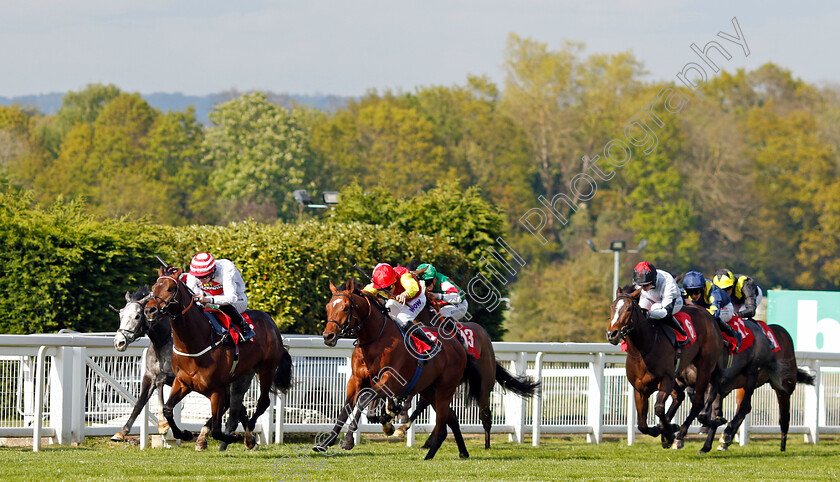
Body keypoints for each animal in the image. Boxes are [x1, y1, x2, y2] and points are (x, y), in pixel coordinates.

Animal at [112, 284, 256, 450]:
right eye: (121, 315)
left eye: (137, 316)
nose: (119, 342)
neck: (163, 342)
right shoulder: (149, 376)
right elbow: (140, 402)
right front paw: (121, 432)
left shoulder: (177, 377)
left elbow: (160, 382)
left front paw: (162, 424)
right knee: (236, 407)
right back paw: (246, 439)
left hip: (235, 380)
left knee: (233, 405)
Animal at [147, 268, 296, 448]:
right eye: (153, 287)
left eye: (170, 288)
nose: (149, 310)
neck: (196, 342)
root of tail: (272, 324)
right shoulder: (182, 382)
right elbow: (168, 409)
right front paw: (184, 433)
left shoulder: (216, 389)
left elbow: (217, 431)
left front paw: (234, 437)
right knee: (236, 406)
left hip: (266, 369)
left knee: (262, 402)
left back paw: (248, 435)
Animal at [322, 278, 486, 460]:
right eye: (328, 307)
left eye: (345, 307)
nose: (328, 336)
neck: (375, 338)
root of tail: (458, 344)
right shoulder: (356, 379)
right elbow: (346, 408)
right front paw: (326, 442)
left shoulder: (390, 380)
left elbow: (364, 399)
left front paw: (348, 440)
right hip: (429, 390)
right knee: (452, 417)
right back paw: (462, 452)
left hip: (446, 388)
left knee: (442, 423)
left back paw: (429, 454)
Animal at [608, 286, 724, 452]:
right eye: (612, 307)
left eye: (629, 308)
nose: (612, 334)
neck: (643, 349)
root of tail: (709, 316)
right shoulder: (640, 389)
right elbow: (642, 425)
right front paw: (663, 430)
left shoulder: (666, 380)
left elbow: (658, 408)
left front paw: (669, 433)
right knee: (680, 396)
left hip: (704, 367)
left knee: (697, 403)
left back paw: (680, 433)